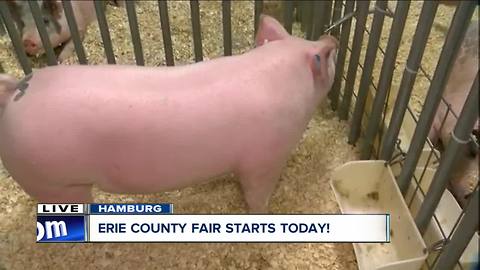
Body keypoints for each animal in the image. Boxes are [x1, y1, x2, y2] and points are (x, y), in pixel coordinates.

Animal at [0, 14, 340, 213]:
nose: (331, 39)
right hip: (53, 182)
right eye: (329, 59)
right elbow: (257, 193)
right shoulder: (264, 159)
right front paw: (264, 213)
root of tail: (17, 91)